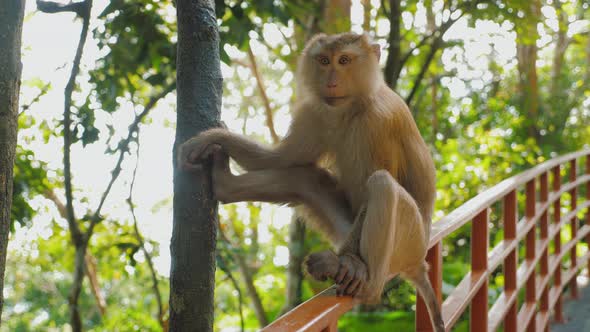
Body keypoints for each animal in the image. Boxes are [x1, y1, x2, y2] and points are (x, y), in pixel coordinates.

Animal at [179, 31, 444, 332]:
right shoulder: (316, 113)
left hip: (409, 243)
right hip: (344, 229)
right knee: (305, 177)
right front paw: (217, 138)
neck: (354, 107)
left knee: (382, 185)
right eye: (324, 60)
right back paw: (225, 183)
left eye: (344, 60)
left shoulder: (380, 121)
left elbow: (382, 177)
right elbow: (281, 159)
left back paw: (366, 283)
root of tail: (419, 263)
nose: (331, 81)